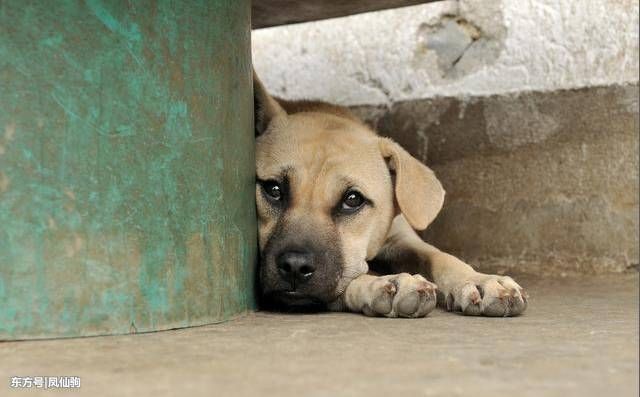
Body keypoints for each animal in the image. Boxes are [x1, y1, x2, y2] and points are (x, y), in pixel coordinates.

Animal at [252, 72, 528, 318]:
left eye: (353, 199)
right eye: (273, 189)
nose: (295, 266)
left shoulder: (401, 237)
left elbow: (439, 256)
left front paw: (478, 279)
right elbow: (350, 279)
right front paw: (381, 285)